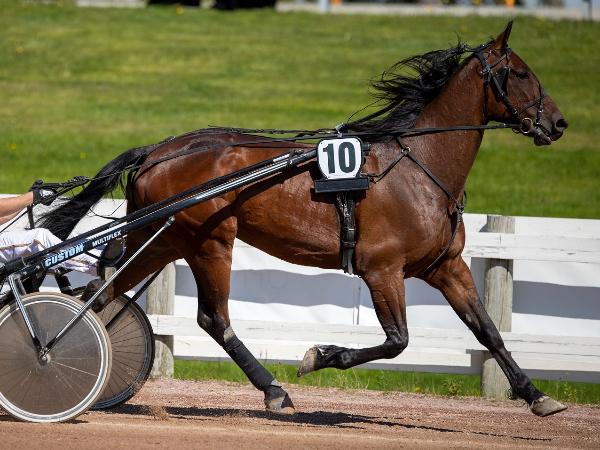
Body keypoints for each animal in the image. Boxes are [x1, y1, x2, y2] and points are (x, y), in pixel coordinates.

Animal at [41, 22, 568, 417]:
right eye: (520, 73)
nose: (558, 123)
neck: (419, 165)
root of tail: (157, 150)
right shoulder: (382, 269)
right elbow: (397, 340)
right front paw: (320, 356)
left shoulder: (445, 266)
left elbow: (489, 331)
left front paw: (537, 396)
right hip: (209, 241)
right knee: (213, 318)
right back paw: (273, 390)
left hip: (163, 237)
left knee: (102, 292)